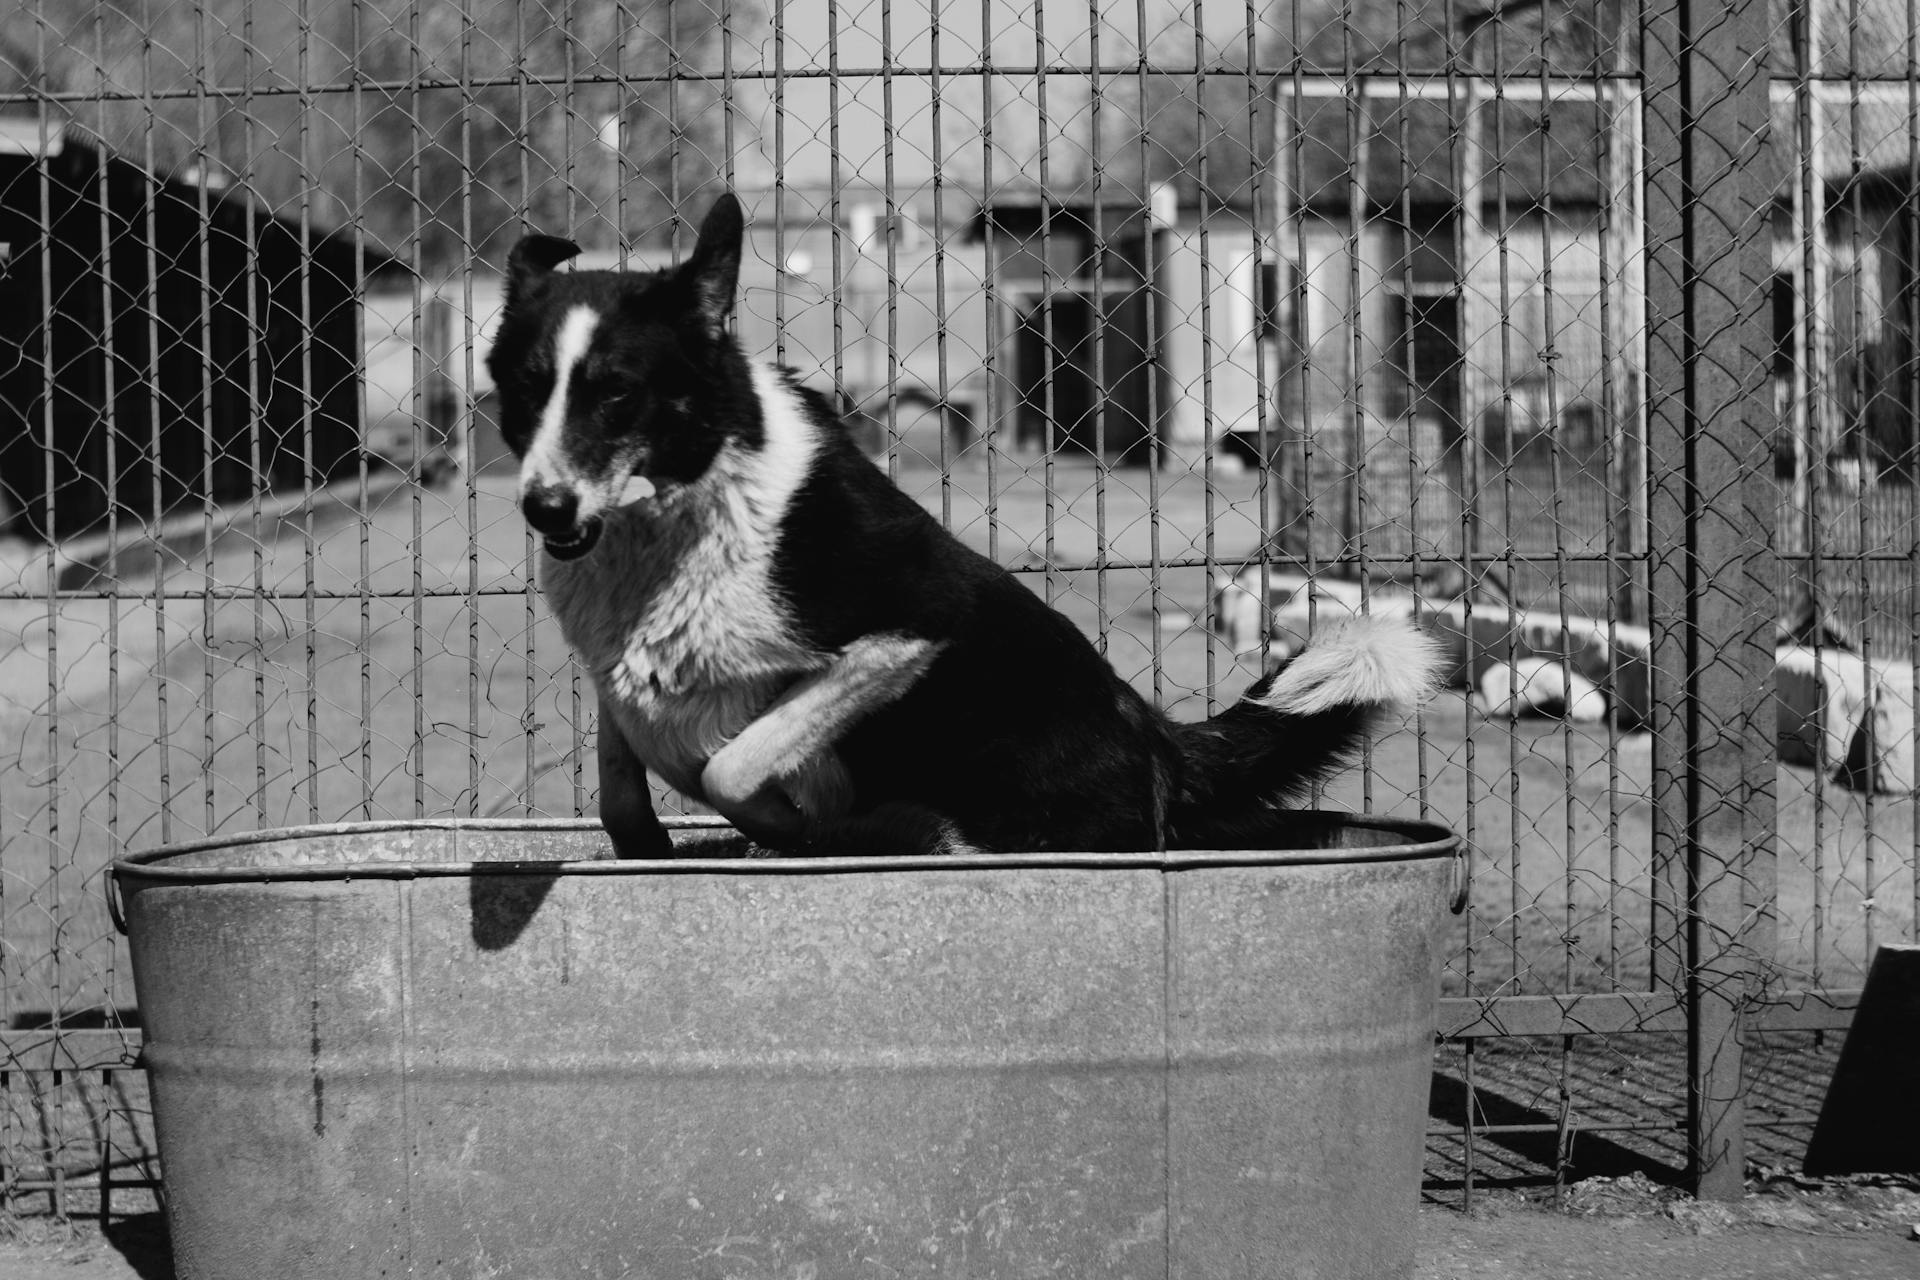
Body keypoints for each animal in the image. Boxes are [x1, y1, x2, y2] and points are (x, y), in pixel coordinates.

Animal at [483, 195, 1443, 859]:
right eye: (527, 389)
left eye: (616, 393)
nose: (545, 508)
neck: (685, 508)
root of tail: (1160, 741)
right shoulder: (621, 674)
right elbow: (621, 795)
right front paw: (656, 842)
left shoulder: (914, 627)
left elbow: (729, 764)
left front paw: (782, 821)